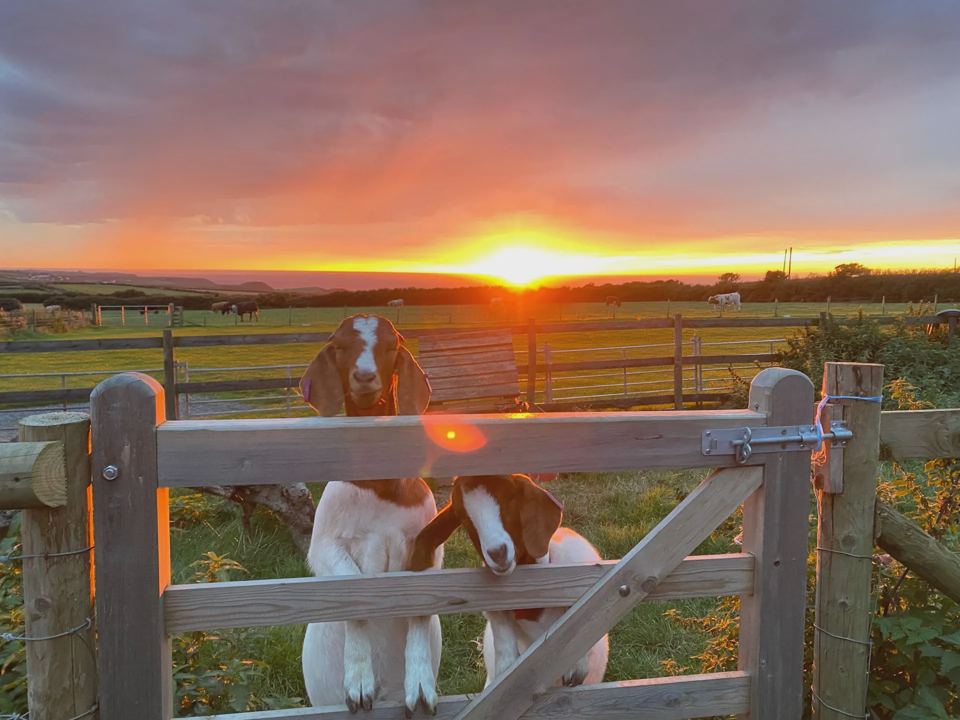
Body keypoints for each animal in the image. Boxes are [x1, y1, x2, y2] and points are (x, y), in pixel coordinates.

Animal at [299, 314, 441, 716]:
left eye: (392, 345)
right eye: (338, 345)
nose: (364, 376)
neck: (380, 488)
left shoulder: (427, 546)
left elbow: (421, 607)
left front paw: (420, 685)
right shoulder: (324, 546)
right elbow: (354, 590)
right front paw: (359, 681)